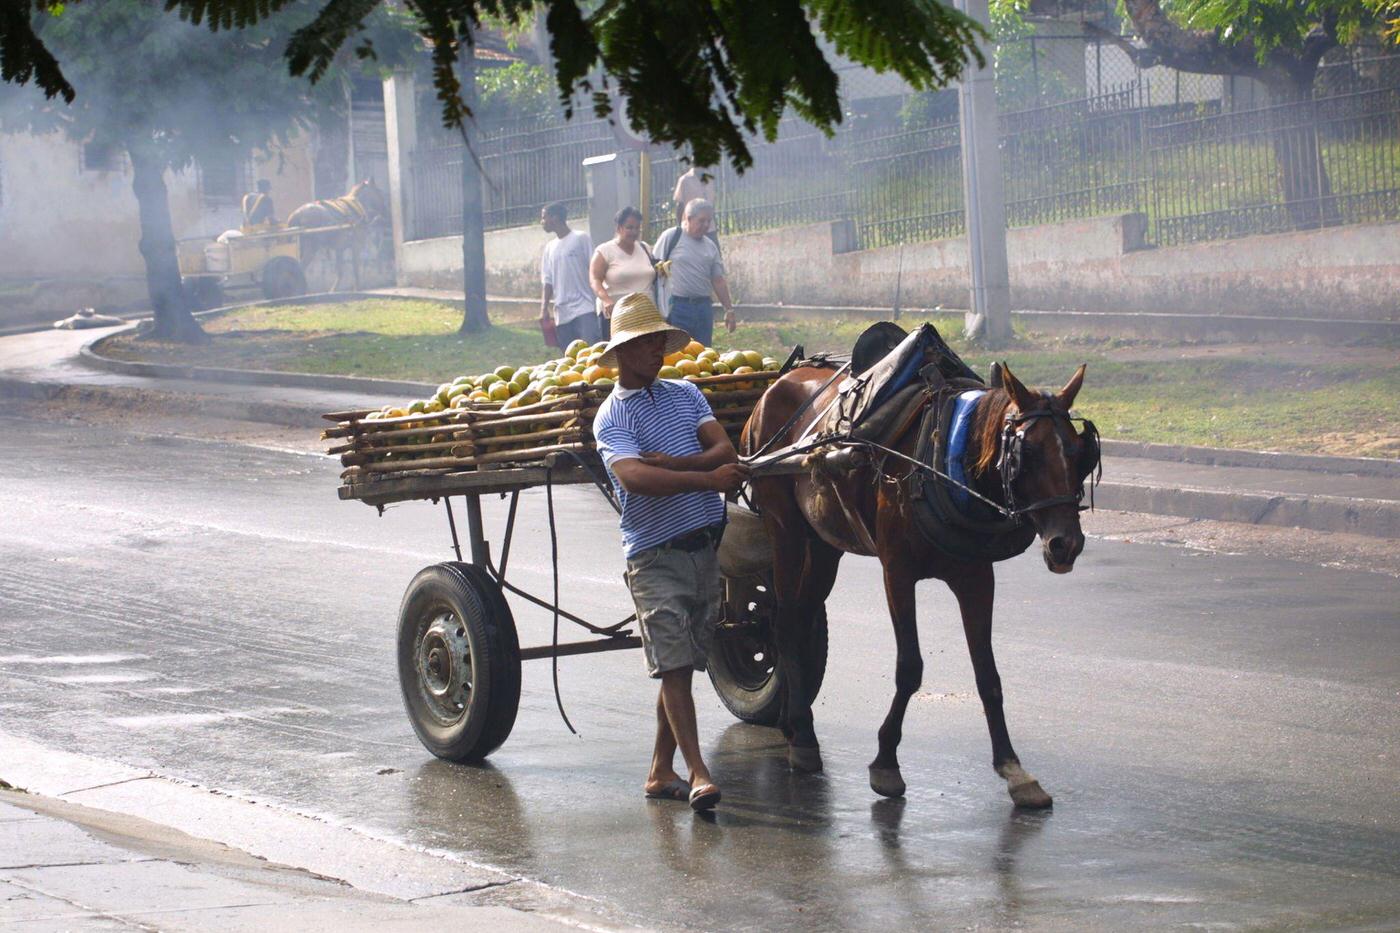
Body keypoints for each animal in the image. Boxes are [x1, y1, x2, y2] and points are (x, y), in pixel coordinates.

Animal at [744, 355, 1092, 806]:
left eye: (1079, 452)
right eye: (1026, 452)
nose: (1066, 544)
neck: (945, 461)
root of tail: (780, 380)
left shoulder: (976, 578)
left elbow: (988, 675)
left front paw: (1013, 768)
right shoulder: (898, 572)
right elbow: (910, 667)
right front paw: (886, 761)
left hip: (823, 542)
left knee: (803, 617)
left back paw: (792, 720)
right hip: (784, 527)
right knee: (785, 621)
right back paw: (803, 735)